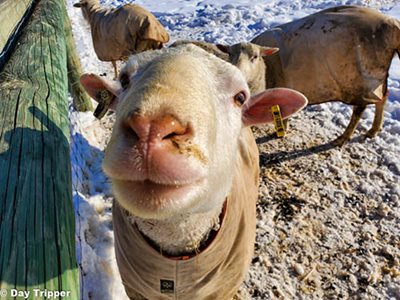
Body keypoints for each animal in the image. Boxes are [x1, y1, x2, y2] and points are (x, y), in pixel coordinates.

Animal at [250, 4, 400, 145]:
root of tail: (393, 25)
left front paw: (279, 132)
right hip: (375, 77)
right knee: (383, 97)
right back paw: (372, 131)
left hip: (360, 80)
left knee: (360, 108)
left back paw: (342, 139)